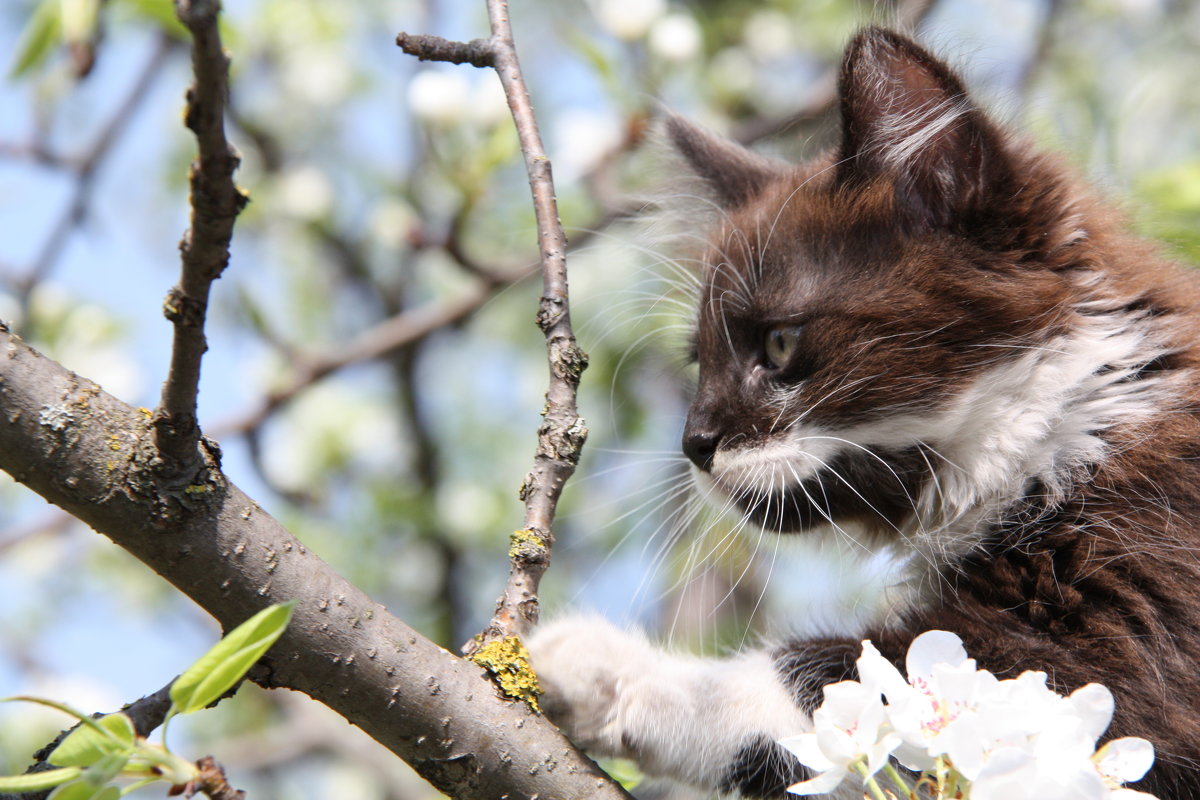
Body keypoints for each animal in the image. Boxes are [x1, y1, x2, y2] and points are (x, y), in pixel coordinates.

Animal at [530, 25, 1200, 800]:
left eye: (780, 343)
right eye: (701, 364)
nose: (694, 442)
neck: (1085, 417)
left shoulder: (1146, 605)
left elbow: (865, 688)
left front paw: (613, 670)